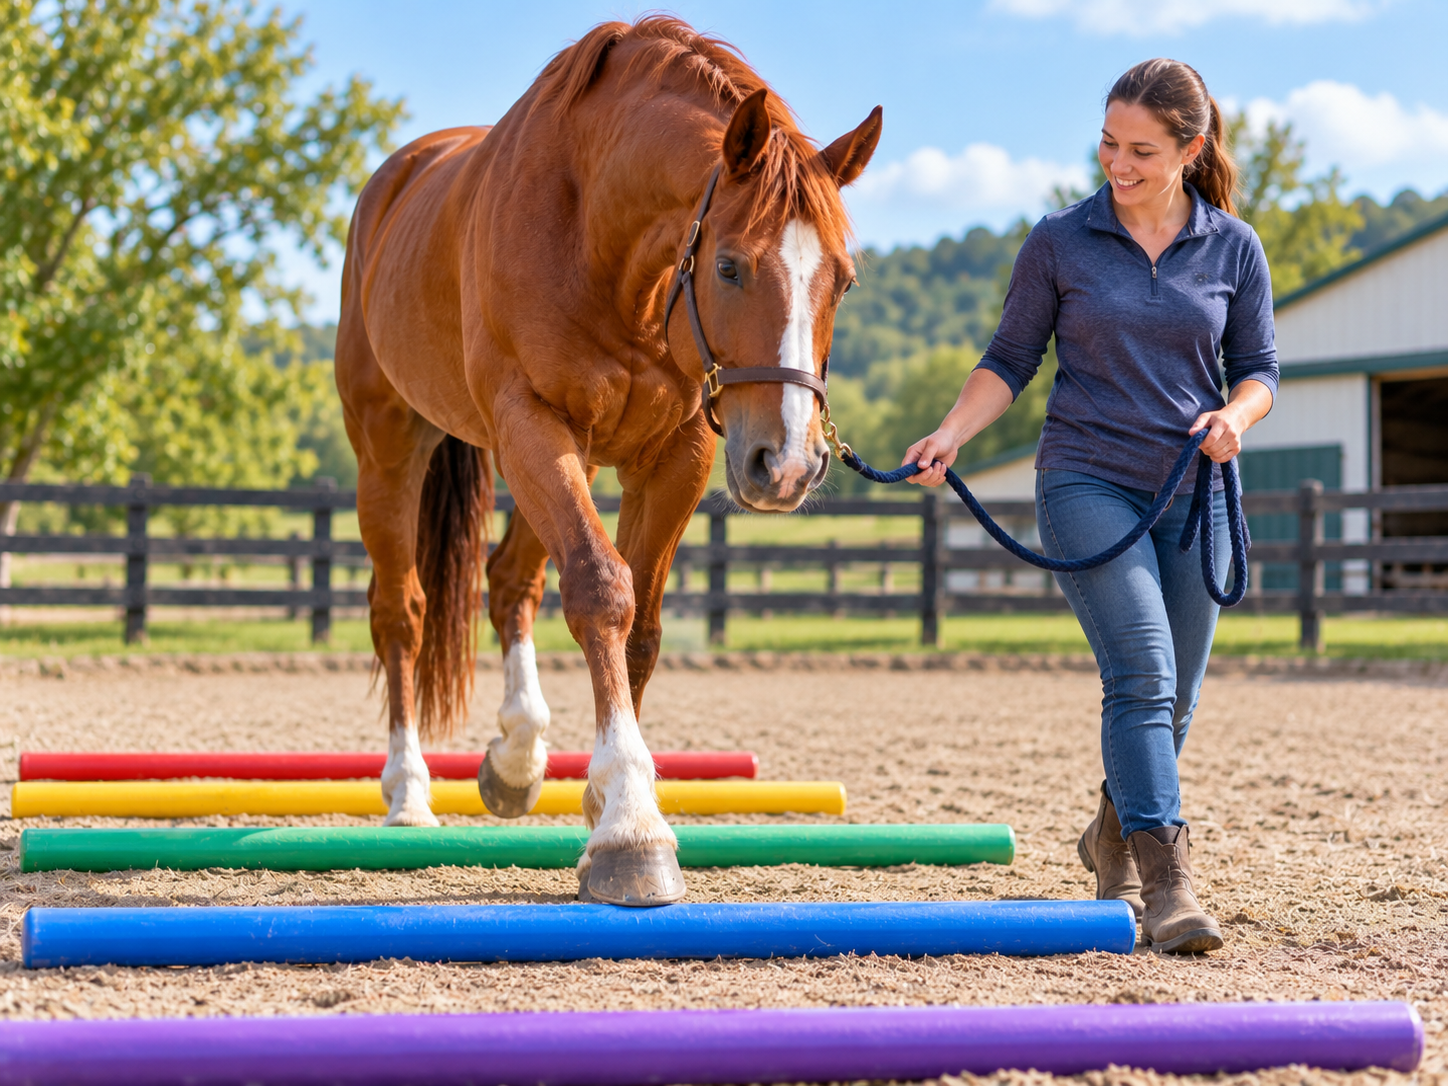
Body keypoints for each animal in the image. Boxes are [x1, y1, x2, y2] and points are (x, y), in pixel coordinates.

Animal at [335, 15, 881, 905]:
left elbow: (642, 630)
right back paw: (408, 790)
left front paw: (604, 798)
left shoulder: (677, 455)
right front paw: (630, 827)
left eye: (843, 279)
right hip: (390, 445)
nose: (789, 465)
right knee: (402, 612)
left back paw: (517, 758)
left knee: (510, 582)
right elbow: (600, 590)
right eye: (729, 265)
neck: (599, 232)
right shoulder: (532, 423)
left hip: (574, 465)